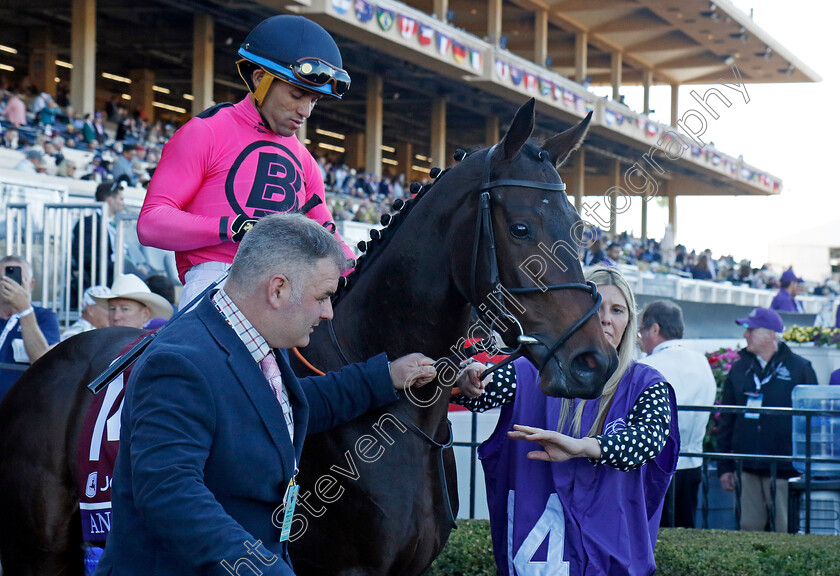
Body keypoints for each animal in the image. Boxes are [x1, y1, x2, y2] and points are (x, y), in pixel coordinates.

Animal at [0, 99, 616, 576]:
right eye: (521, 228)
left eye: (580, 228)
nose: (594, 361)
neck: (398, 419)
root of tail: (42, 369)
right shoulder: (344, 567)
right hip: (40, 550)